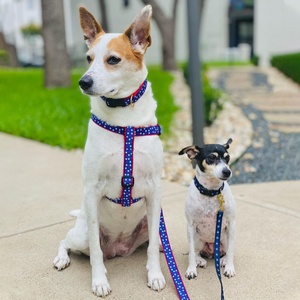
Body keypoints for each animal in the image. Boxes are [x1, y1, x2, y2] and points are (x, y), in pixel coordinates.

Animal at [54, 5, 166, 298]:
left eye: (113, 60)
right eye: (88, 58)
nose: (83, 82)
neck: (125, 120)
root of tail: (119, 248)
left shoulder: (155, 189)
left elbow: (152, 248)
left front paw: (156, 275)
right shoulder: (92, 188)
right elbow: (95, 251)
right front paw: (99, 281)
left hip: (149, 222)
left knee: (154, 241)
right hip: (80, 232)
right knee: (67, 241)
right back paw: (62, 258)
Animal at [179, 139, 236, 280]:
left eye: (227, 157)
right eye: (211, 158)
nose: (227, 171)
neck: (211, 191)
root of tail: (211, 252)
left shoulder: (231, 225)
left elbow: (231, 251)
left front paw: (229, 268)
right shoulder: (190, 226)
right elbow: (191, 254)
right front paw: (191, 270)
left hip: (225, 240)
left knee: (226, 252)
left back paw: (224, 260)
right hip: (198, 239)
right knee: (196, 252)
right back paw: (199, 260)